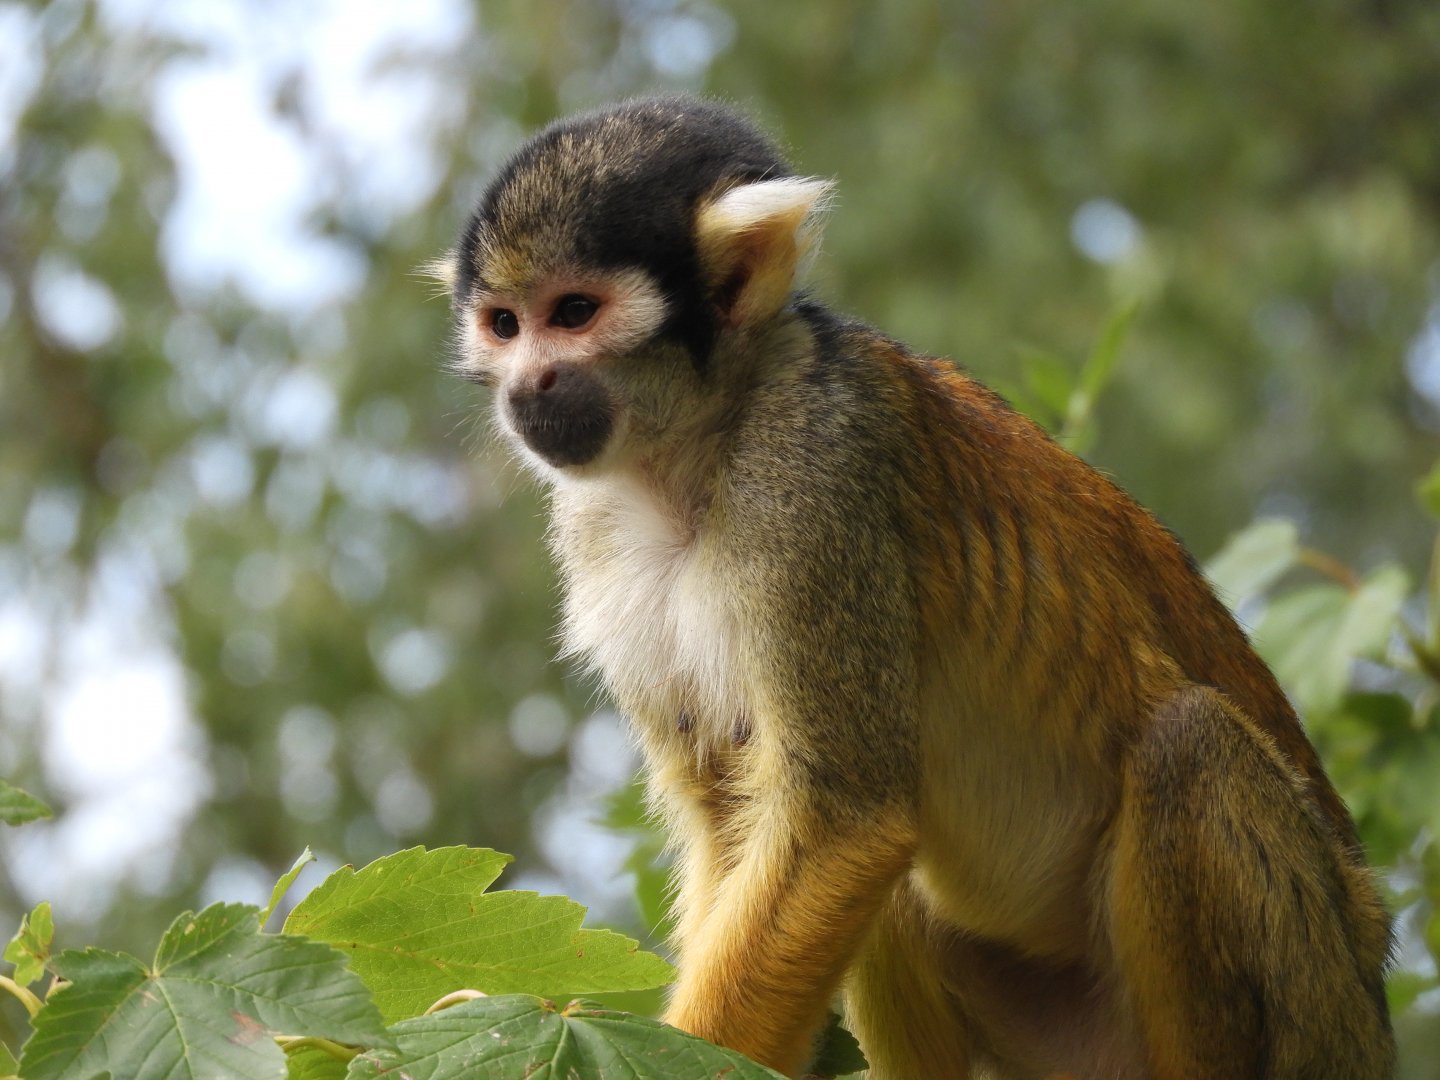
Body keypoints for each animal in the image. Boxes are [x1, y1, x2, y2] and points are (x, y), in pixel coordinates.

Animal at [434, 96, 1395, 1079]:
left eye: (574, 313)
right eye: (505, 324)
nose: (527, 385)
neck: (695, 450)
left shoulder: (814, 470)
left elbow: (844, 821)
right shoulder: (593, 531)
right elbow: (735, 817)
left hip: (1318, 1009)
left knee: (1189, 746)